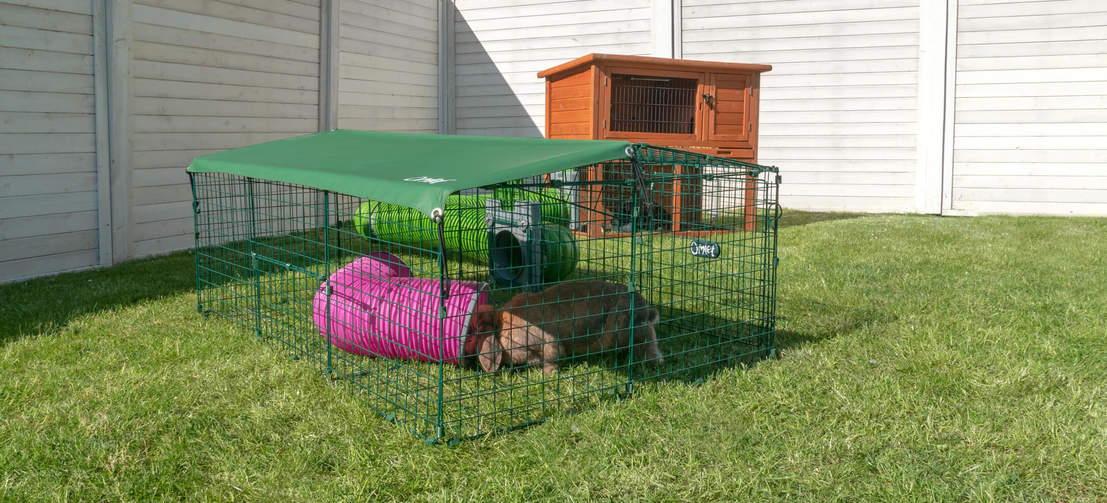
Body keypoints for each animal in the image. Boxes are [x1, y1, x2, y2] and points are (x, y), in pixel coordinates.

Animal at [462, 279, 659, 372]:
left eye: (473, 332)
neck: (499, 326)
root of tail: (645, 309)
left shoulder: (548, 343)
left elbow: (552, 358)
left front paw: (548, 374)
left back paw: (650, 362)